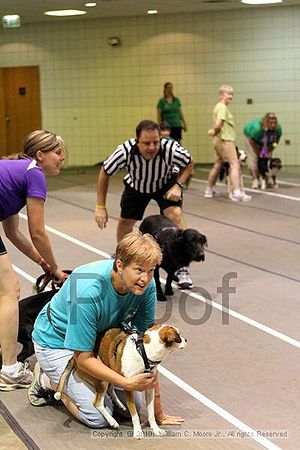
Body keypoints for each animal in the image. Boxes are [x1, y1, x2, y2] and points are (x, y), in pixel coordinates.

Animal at [54, 324, 186, 440]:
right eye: (178, 335)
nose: (186, 339)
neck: (143, 352)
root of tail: (75, 357)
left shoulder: (149, 388)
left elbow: (151, 413)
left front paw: (156, 429)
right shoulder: (129, 388)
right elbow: (134, 415)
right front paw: (138, 431)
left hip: (110, 372)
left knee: (111, 388)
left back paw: (119, 404)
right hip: (101, 379)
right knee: (97, 403)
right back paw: (112, 420)